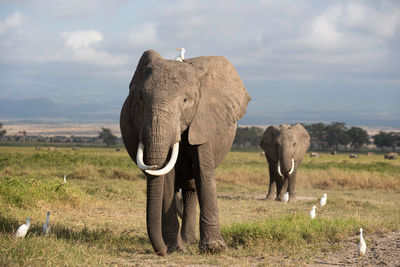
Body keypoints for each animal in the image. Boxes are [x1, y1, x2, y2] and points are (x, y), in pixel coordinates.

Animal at [119, 49, 250, 256]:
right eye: (140, 99)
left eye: (185, 100)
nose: (161, 252)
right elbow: (167, 176)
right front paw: (175, 249)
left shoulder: (204, 119)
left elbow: (203, 171)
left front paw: (213, 248)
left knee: (191, 189)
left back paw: (189, 241)